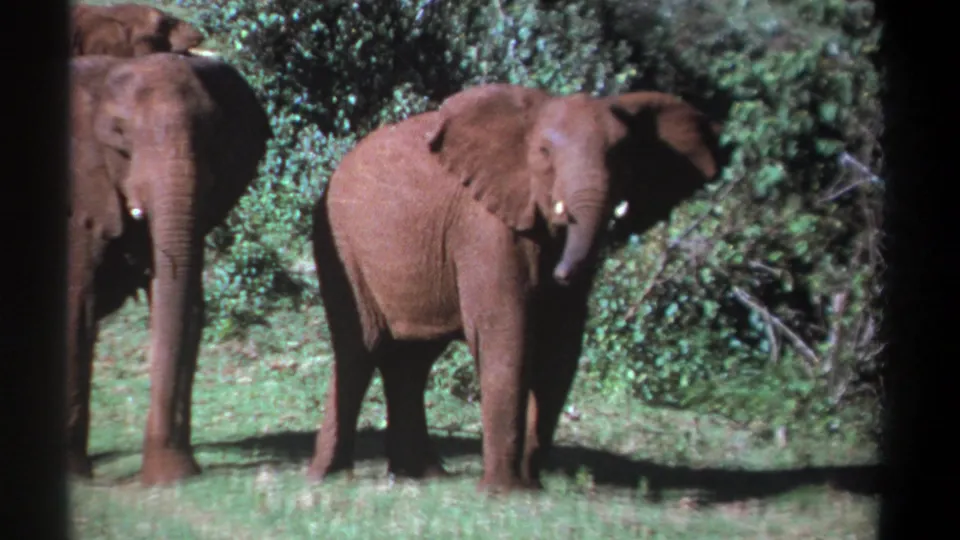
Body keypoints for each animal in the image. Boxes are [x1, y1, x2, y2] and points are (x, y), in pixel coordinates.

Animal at [67, 52, 272, 486]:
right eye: (119, 134)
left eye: (214, 133)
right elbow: (78, 303)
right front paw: (74, 474)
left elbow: (180, 301)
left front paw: (171, 475)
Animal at [307, 83, 724, 492]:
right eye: (544, 152)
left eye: (621, 154)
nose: (561, 273)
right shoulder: (484, 224)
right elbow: (507, 332)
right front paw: (504, 492)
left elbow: (561, 345)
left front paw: (530, 486)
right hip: (341, 244)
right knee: (360, 348)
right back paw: (329, 478)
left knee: (412, 360)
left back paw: (423, 476)